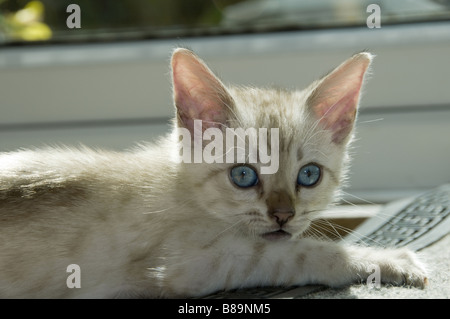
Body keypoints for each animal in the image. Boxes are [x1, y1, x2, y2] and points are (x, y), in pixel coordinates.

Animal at [0, 48, 426, 298]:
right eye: (243, 176)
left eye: (309, 176)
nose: (283, 215)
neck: (183, 188)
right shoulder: (187, 265)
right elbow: (297, 252)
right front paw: (387, 261)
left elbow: (290, 245)